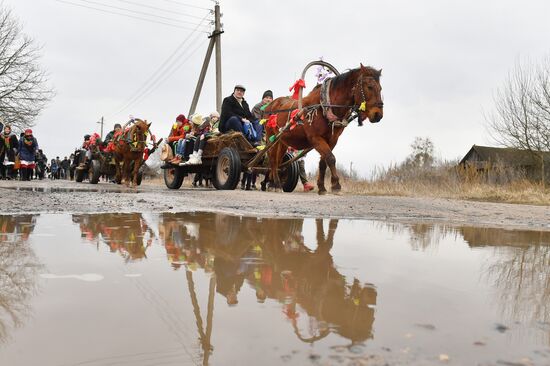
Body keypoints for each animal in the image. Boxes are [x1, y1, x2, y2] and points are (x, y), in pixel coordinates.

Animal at [268, 64, 384, 194]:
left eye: (380, 88)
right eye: (370, 87)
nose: (378, 115)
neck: (324, 106)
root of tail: (272, 104)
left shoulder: (332, 139)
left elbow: (324, 162)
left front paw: (322, 187)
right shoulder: (315, 138)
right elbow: (331, 158)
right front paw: (336, 185)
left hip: (282, 140)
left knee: (278, 160)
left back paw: (272, 182)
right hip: (270, 137)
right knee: (272, 159)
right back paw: (276, 184)